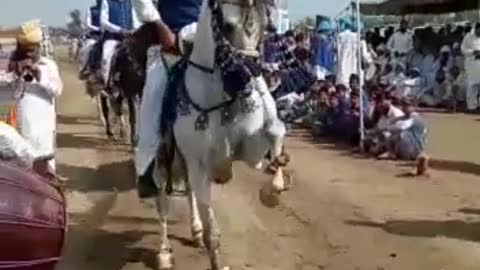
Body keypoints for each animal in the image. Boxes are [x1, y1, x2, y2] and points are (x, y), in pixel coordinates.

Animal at [150, 1, 288, 268]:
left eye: (266, 26)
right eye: (227, 25)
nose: (251, 75)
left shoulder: (250, 151)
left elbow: (276, 129)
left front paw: (272, 189)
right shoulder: (198, 165)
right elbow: (211, 233)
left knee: (188, 193)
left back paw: (193, 230)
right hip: (162, 161)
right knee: (162, 202)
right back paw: (163, 252)